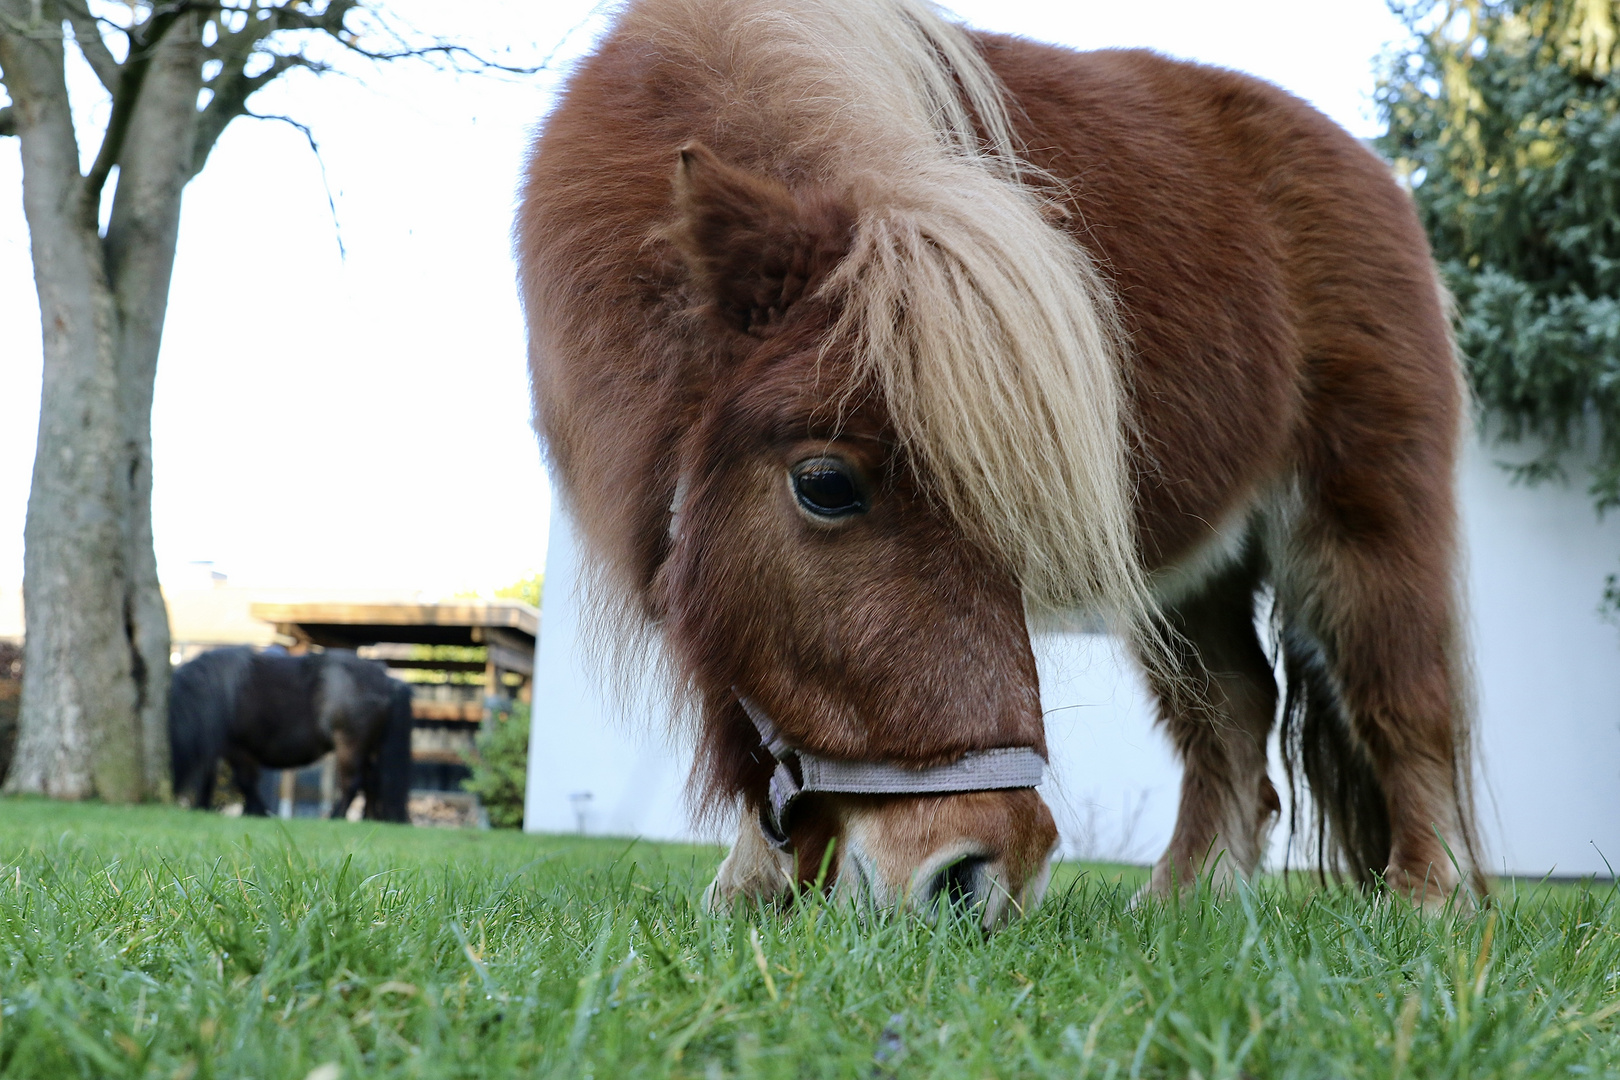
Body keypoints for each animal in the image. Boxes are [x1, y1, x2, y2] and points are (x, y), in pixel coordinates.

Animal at [167, 647, 411, 822]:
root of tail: (387, 679)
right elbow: (212, 779)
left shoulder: (236, 748)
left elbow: (244, 781)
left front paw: (258, 811)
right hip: (368, 747)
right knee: (371, 780)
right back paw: (368, 817)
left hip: (350, 744)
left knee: (353, 782)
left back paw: (336, 816)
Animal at [518, 0, 1483, 932]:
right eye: (826, 485)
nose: (986, 869)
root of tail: (1374, 174)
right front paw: (749, 886)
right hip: (1189, 582)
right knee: (1235, 711)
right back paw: (1186, 899)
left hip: (1359, 522)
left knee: (1405, 698)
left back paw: (1427, 898)